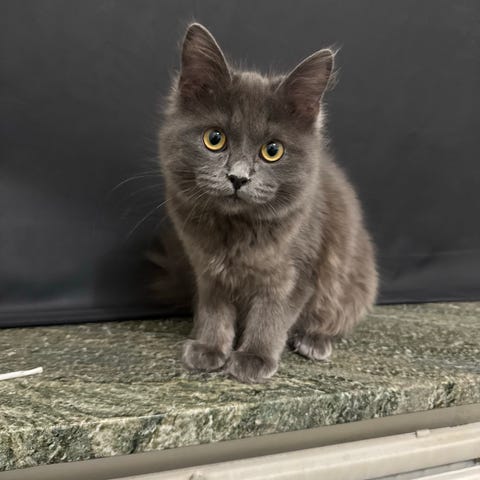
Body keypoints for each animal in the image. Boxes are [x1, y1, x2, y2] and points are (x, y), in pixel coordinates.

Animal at [158, 23, 378, 383]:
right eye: (214, 139)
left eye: (272, 150)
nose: (238, 178)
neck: (234, 231)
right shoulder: (207, 270)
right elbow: (213, 309)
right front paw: (209, 348)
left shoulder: (295, 271)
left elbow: (271, 315)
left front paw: (254, 358)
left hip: (353, 284)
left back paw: (314, 341)